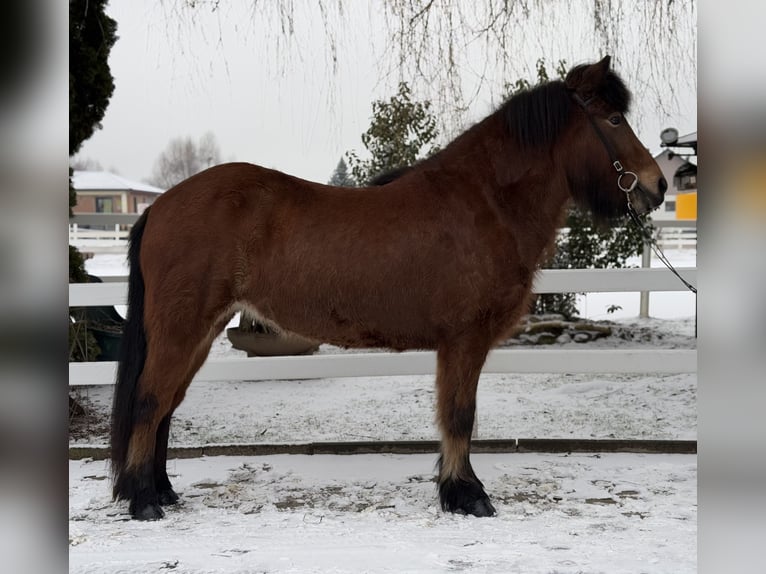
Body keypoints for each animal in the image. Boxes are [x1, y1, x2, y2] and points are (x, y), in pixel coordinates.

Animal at [112, 57, 664, 520]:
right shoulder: (464, 340)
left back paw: (162, 490)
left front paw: (453, 490)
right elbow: (459, 416)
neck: (484, 201)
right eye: (614, 120)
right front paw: (467, 495)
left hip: (199, 333)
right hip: (182, 329)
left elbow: (453, 416)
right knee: (150, 401)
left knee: (165, 406)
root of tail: (160, 206)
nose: (657, 186)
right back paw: (143, 501)